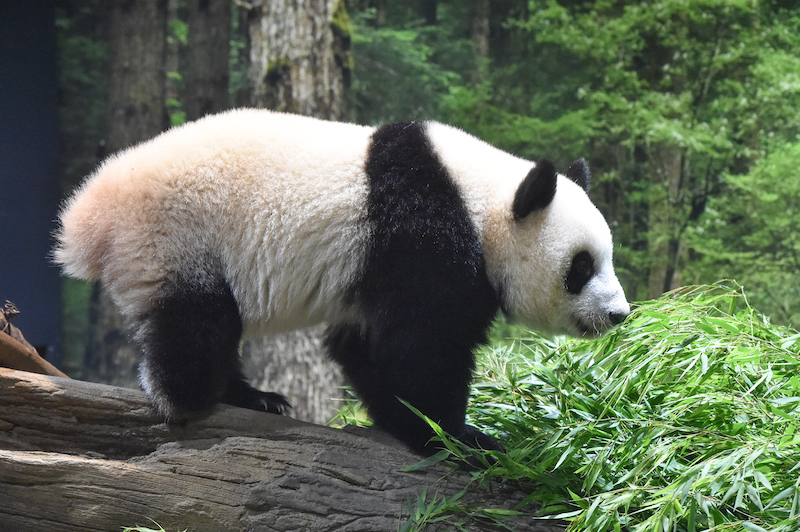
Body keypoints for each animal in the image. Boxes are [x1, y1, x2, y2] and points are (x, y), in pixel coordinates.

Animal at [56, 109, 632, 454]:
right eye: (581, 267)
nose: (619, 314)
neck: (482, 199)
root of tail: (91, 214)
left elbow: (365, 347)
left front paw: (405, 422)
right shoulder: (420, 236)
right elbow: (422, 347)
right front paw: (459, 437)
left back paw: (255, 398)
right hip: (180, 239)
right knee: (196, 323)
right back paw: (197, 397)